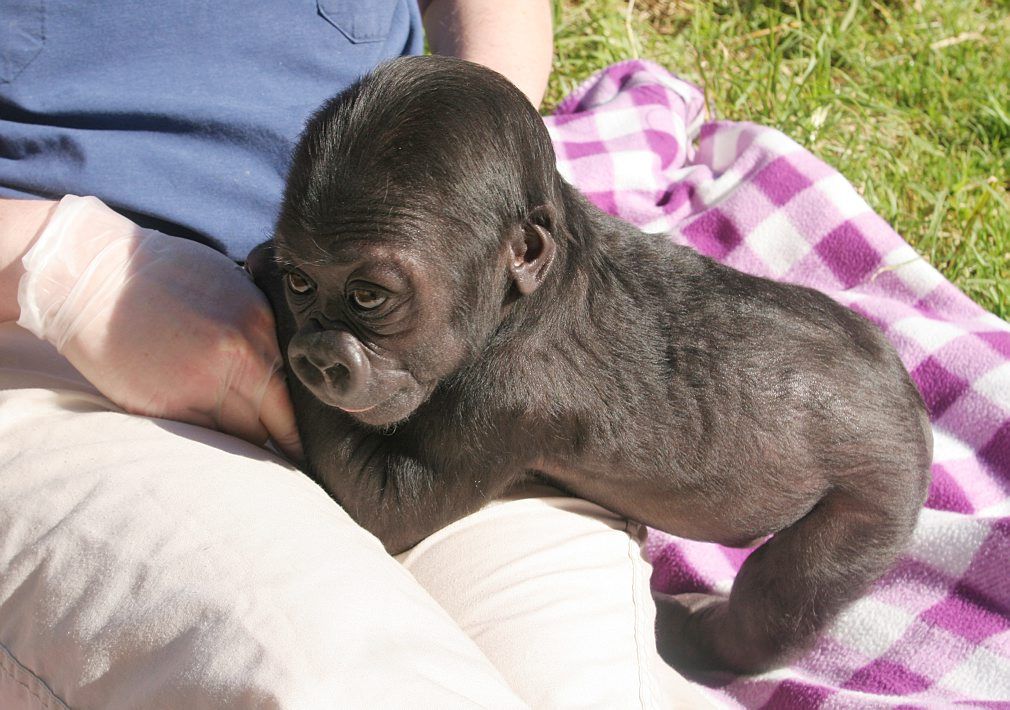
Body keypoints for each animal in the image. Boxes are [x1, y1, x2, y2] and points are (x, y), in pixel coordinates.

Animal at [246, 55, 932, 674]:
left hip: (880, 494)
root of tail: (910, 403)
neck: (526, 295)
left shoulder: (507, 398)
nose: (317, 352)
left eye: (368, 296)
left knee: (782, 598)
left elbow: (387, 510)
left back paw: (706, 640)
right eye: (304, 281)